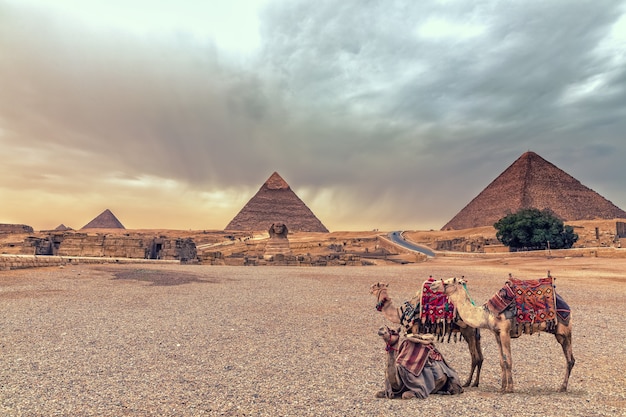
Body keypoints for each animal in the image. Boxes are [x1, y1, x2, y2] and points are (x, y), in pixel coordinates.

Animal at [426, 274, 572, 392]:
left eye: (446, 283)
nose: (432, 285)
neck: (487, 314)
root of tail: (565, 304)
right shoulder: (496, 333)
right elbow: (502, 361)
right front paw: (502, 387)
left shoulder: (505, 332)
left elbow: (509, 360)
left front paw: (509, 388)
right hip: (559, 334)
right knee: (570, 359)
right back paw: (562, 387)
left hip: (565, 329)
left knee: (570, 359)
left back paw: (562, 387)